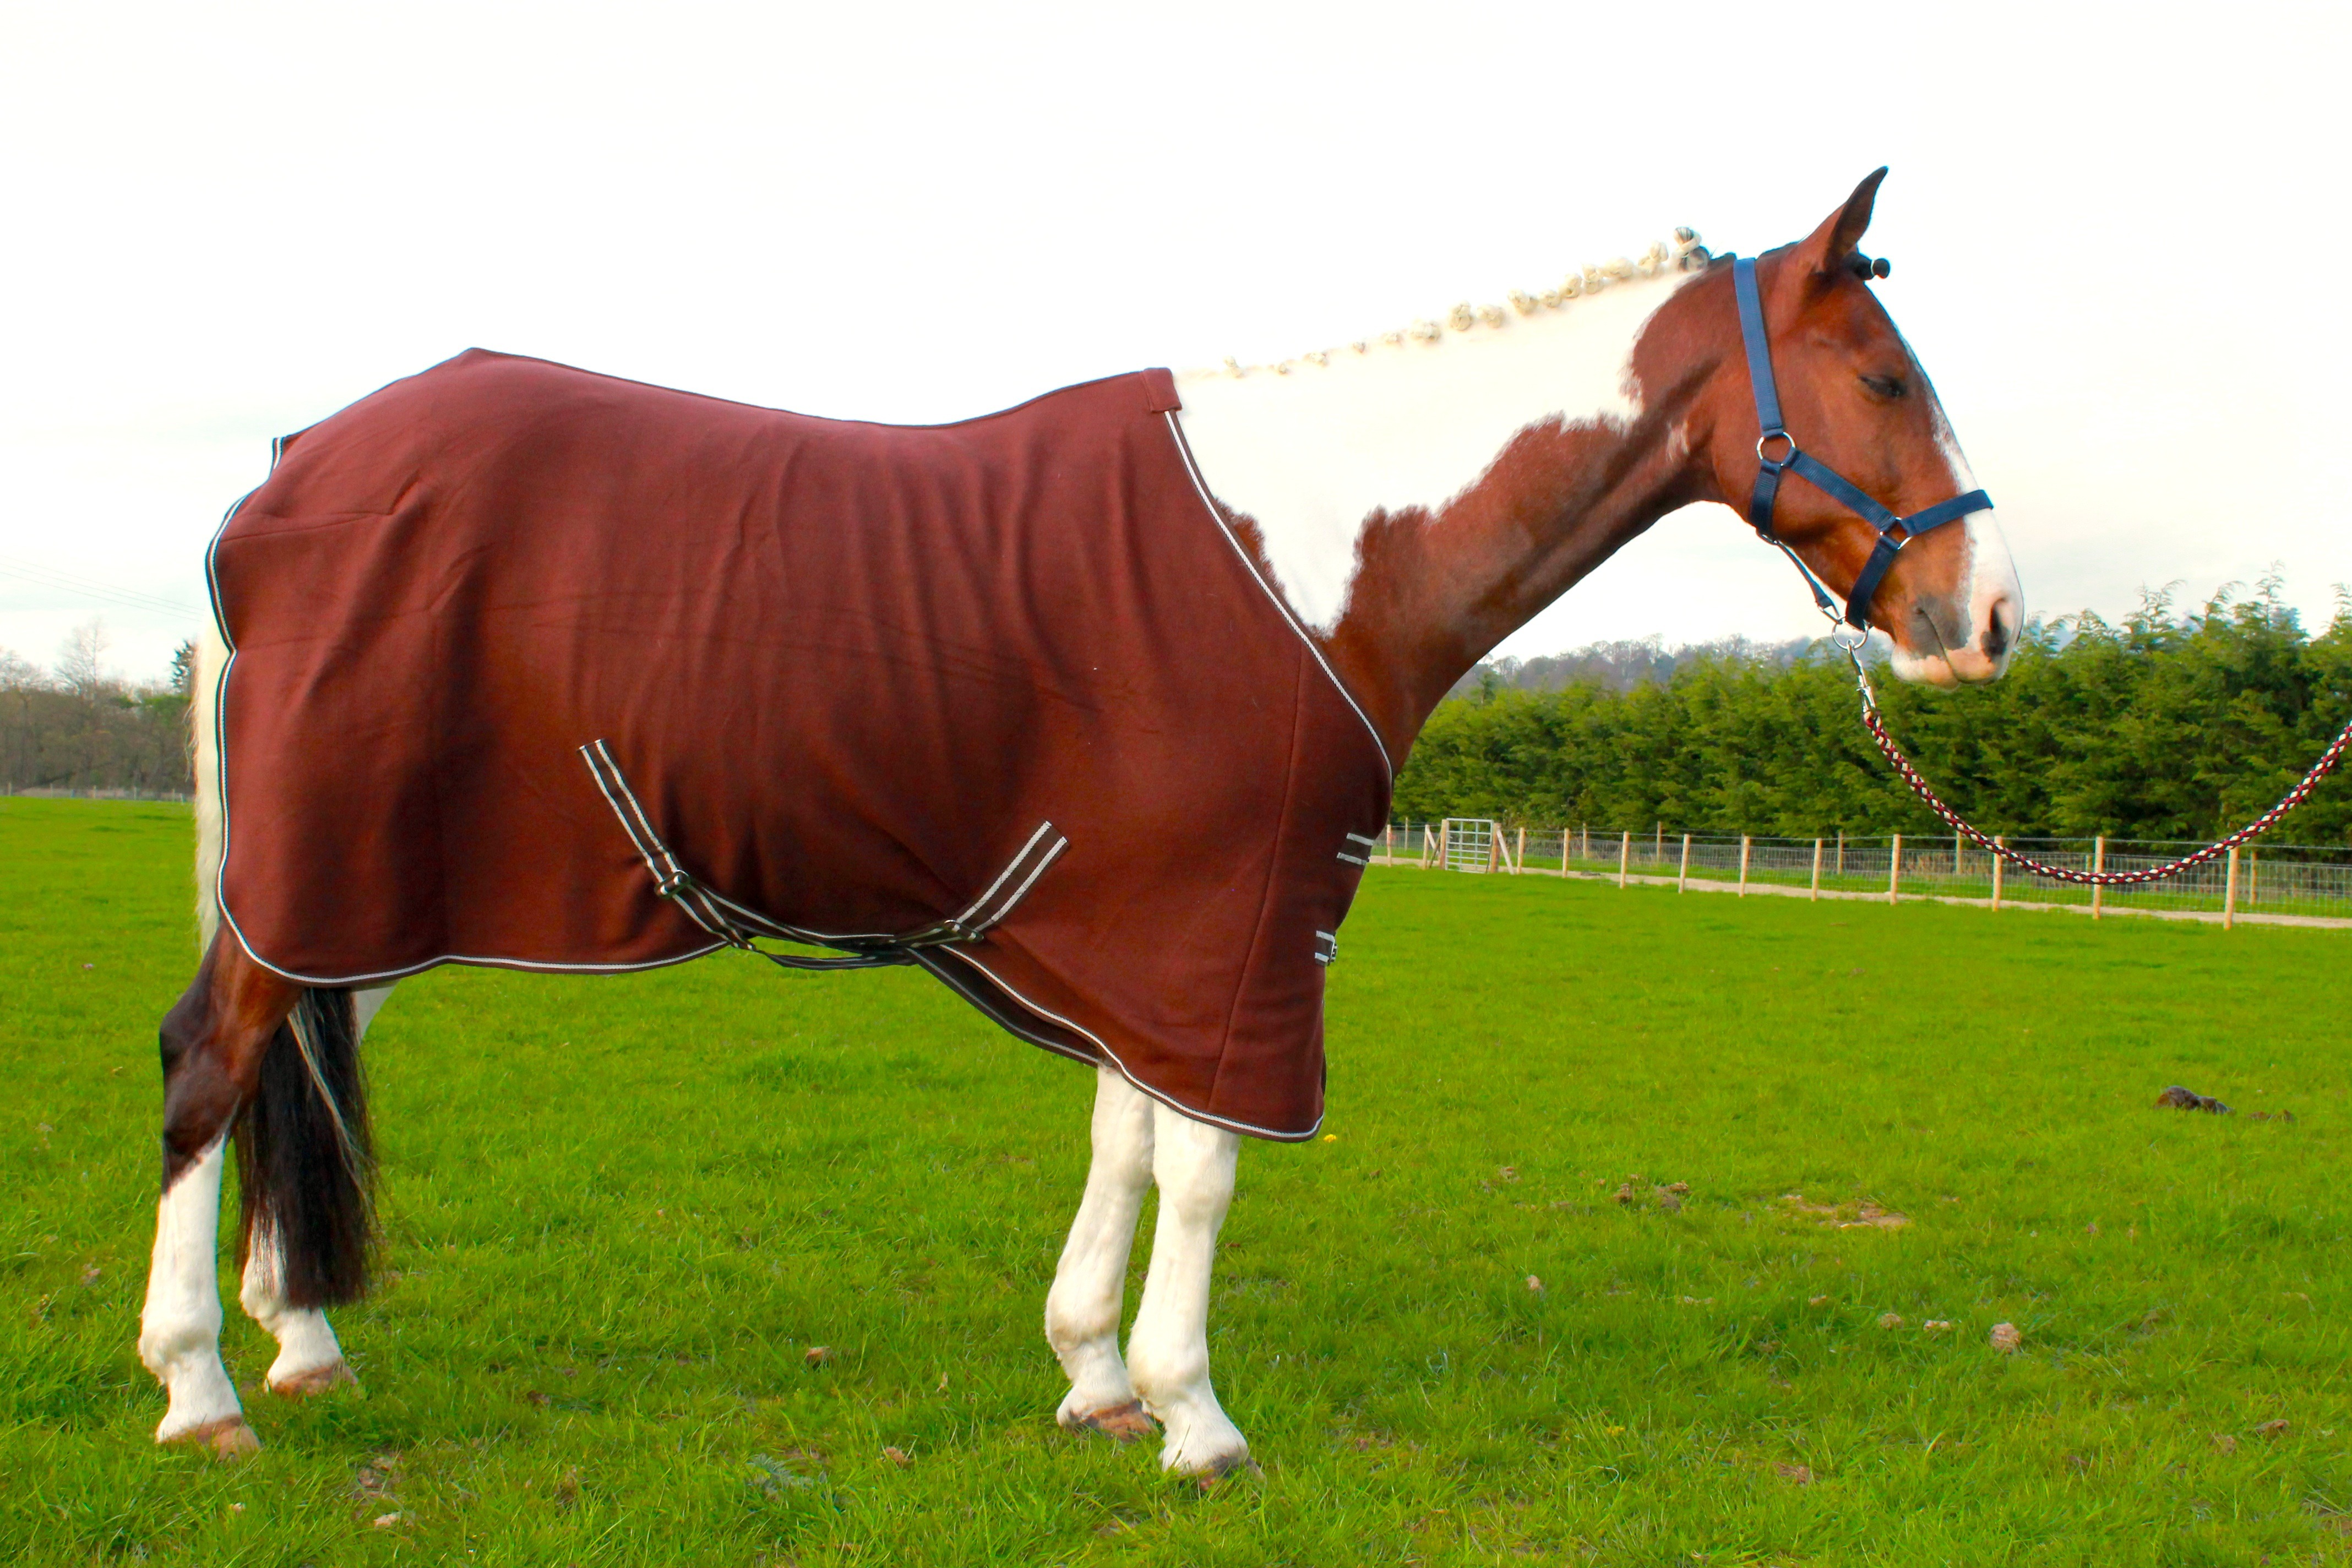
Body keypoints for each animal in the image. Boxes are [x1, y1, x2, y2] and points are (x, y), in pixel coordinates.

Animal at [138, 168, 2021, 1474]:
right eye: (1878, 376)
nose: (1986, 618)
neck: (1320, 548)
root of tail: (292, 472)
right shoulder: (1235, 925)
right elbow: (1201, 1169)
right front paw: (1197, 1417)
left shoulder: (1156, 934)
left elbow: (1127, 1143)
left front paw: (1098, 1379)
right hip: (329, 874)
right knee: (215, 1063)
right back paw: (205, 1388)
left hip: (373, 890)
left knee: (296, 1057)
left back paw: (301, 1338)